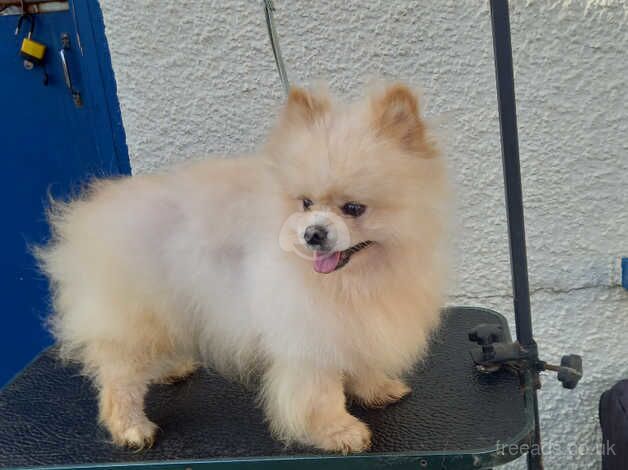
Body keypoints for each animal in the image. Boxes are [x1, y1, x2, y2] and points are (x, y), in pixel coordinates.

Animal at [36, 82, 448, 454]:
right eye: (305, 203)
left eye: (354, 208)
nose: (313, 233)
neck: (353, 280)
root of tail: (87, 217)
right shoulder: (308, 332)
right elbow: (319, 393)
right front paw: (338, 432)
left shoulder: (352, 324)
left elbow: (359, 362)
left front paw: (377, 389)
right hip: (135, 322)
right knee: (118, 379)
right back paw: (131, 427)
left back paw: (173, 369)